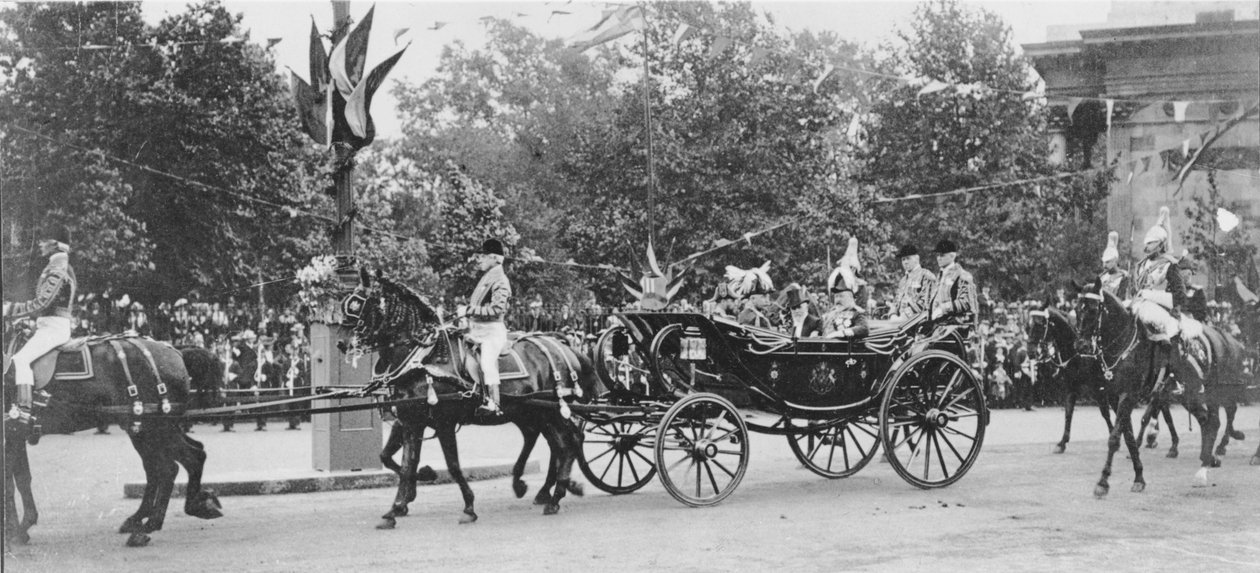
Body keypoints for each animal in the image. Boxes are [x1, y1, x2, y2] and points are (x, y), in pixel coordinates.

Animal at [3, 324, 224, 549]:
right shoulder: (15, 435)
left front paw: (15, 531)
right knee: (170, 463)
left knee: (176, 464)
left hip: (156, 428)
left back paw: (150, 525)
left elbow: (11, 483)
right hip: (144, 430)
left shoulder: (11, 435)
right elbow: (20, 479)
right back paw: (148, 517)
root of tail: (176, 352)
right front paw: (21, 528)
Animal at [340, 269, 594, 528]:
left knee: (570, 441)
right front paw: (397, 507)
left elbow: (452, 465)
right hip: (535, 412)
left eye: (360, 304)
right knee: (554, 442)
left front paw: (468, 507)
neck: (424, 359)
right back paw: (543, 489)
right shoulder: (411, 422)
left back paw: (556, 494)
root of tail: (563, 346)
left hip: (552, 410)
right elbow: (405, 464)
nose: (342, 343)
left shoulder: (443, 423)